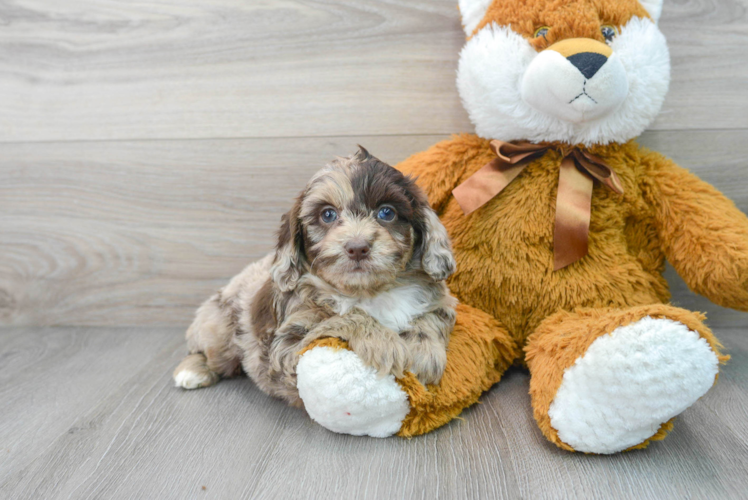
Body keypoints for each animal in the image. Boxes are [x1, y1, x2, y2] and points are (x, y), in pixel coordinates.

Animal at [174, 147, 456, 406]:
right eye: (328, 214)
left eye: (387, 212)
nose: (357, 247)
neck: (367, 291)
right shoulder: (288, 345)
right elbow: (344, 316)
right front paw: (384, 344)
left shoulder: (442, 302)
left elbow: (429, 318)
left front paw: (423, 353)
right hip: (218, 329)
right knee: (205, 351)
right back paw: (192, 371)